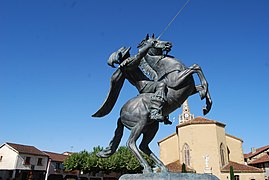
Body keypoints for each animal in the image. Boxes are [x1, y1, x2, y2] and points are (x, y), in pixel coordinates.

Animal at [92, 35, 211, 174]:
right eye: (155, 41)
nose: (168, 43)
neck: (167, 67)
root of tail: (121, 115)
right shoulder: (177, 81)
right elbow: (195, 67)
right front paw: (205, 96)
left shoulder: (190, 89)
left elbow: (200, 82)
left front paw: (207, 103)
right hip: (140, 123)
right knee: (131, 143)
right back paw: (148, 168)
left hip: (151, 127)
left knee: (143, 146)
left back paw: (163, 168)